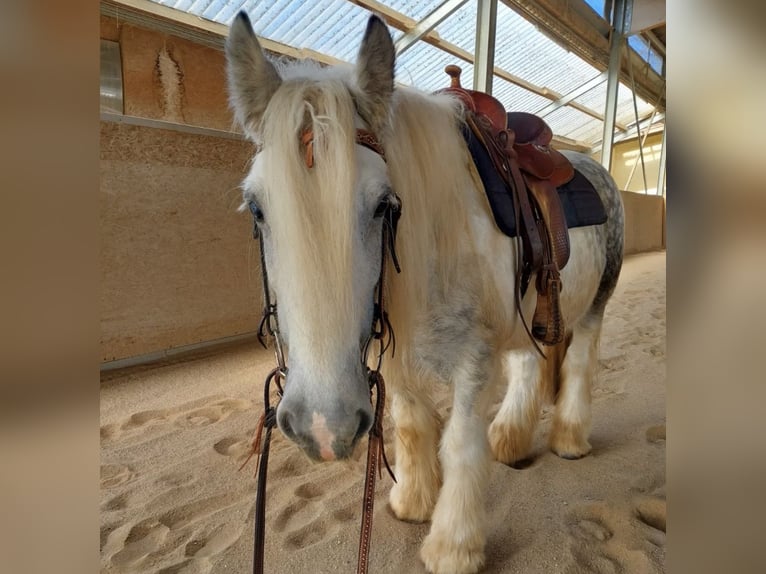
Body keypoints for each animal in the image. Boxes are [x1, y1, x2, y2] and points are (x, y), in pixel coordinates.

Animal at [224, 10, 624, 574]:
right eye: (258, 208)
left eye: (383, 205)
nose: (322, 427)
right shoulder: (395, 350)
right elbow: (412, 424)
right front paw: (412, 502)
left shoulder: (474, 357)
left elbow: (459, 443)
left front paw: (453, 546)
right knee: (528, 366)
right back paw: (510, 439)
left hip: (593, 305)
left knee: (580, 363)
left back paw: (568, 438)